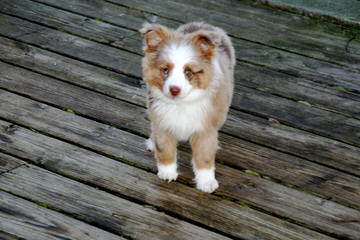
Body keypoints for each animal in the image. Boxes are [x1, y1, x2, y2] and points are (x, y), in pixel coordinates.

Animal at [139, 21, 235, 192]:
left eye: (188, 72)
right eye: (165, 70)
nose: (174, 89)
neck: (181, 103)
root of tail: (202, 24)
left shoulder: (205, 128)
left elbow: (204, 156)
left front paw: (206, 182)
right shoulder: (162, 122)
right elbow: (164, 149)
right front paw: (167, 172)